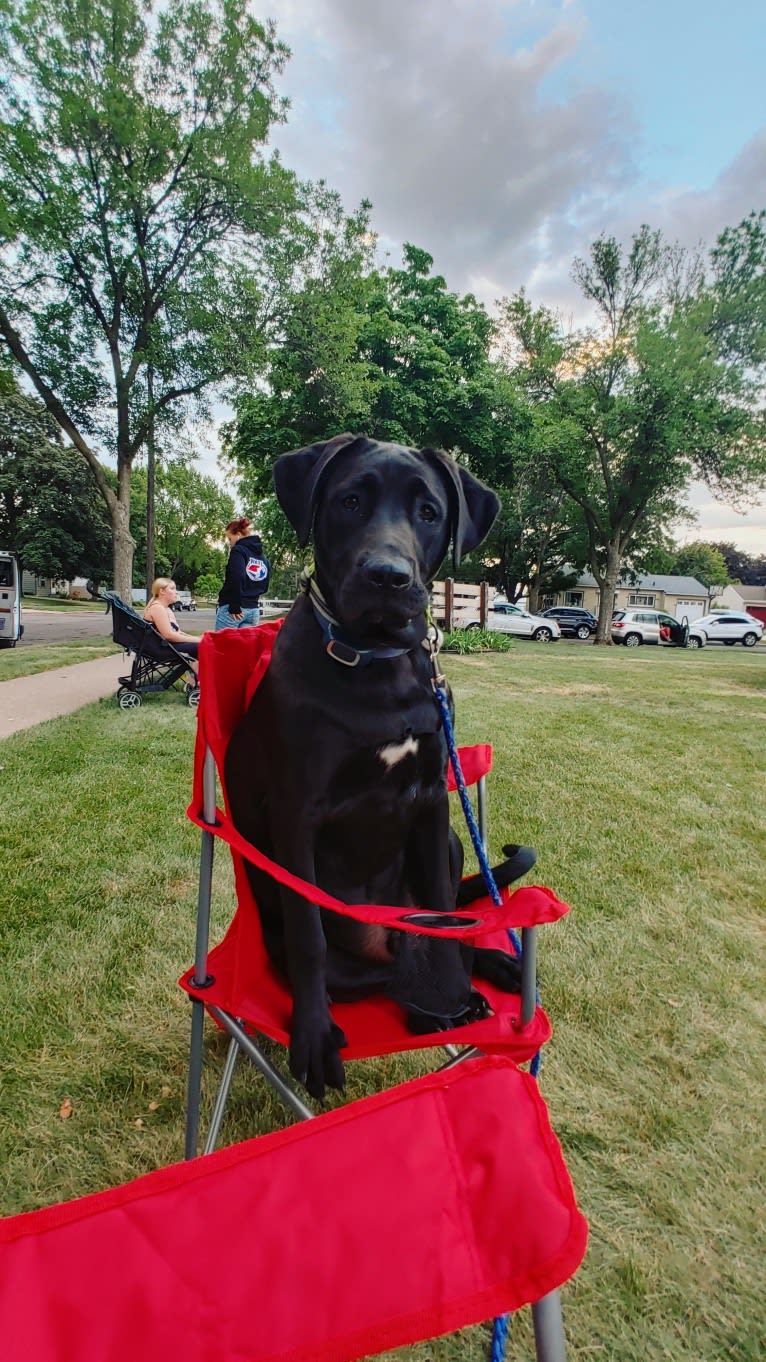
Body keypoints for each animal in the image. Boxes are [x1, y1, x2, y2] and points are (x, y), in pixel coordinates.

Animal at [223, 435, 528, 1095]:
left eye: (429, 512)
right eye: (350, 501)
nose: (388, 576)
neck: (373, 660)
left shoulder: (433, 800)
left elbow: (444, 914)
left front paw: (456, 987)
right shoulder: (296, 814)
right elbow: (310, 937)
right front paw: (314, 1037)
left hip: (452, 843)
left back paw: (480, 974)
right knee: (372, 976)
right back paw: (424, 1008)